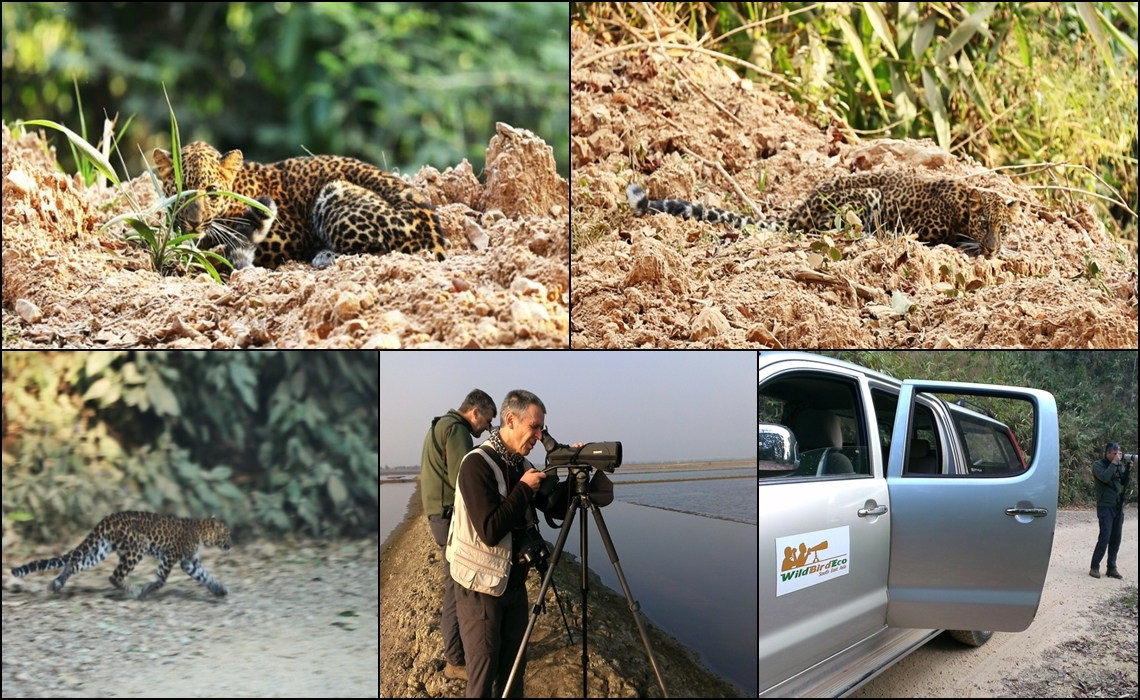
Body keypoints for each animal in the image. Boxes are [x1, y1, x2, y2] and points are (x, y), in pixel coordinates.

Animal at [11, 510, 231, 601]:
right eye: (227, 534)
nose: (230, 545)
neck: (202, 533)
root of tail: (108, 518)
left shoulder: (189, 563)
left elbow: (206, 576)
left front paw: (219, 590)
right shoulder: (170, 556)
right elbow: (161, 579)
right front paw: (146, 590)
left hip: (100, 550)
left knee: (74, 563)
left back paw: (56, 584)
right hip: (137, 547)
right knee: (114, 576)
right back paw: (134, 591)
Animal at [153, 141, 446, 270]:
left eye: (211, 192)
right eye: (180, 191)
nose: (193, 221)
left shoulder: (287, 236)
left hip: (334, 192)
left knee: (379, 251)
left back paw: (324, 256)